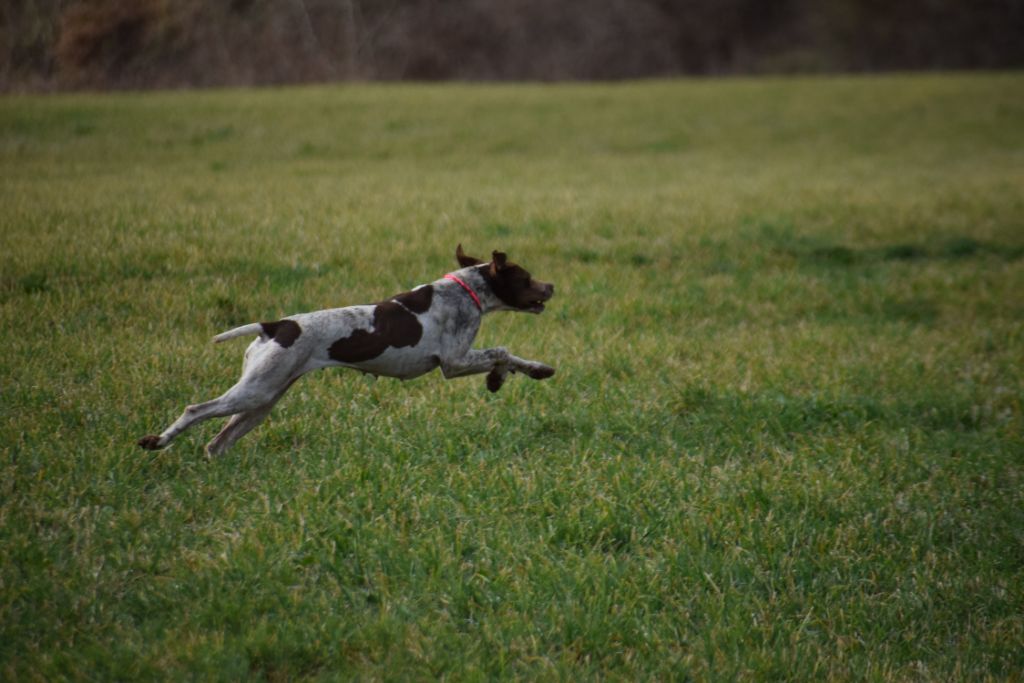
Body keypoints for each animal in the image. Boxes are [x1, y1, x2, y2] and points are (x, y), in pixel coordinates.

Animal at [137, 242, 557, 456]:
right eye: (526, 277)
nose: (552, 286)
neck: (465, 290)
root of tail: (276, 325)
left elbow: (511, 357)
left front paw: (530, 371)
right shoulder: (452, 361)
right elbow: (501, 351)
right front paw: (502, 375)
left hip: (263, 399)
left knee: (218, 441)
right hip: (254, 392)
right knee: (196, 410)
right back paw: (157, 441)